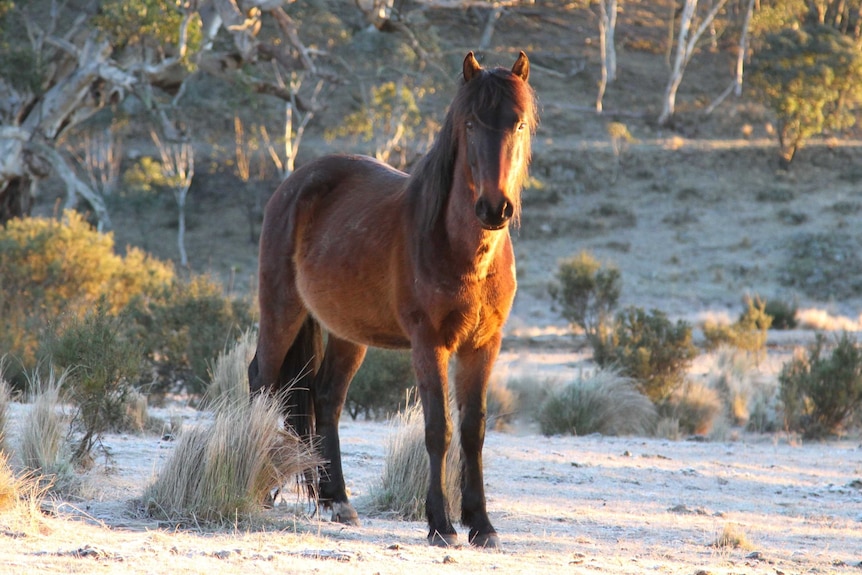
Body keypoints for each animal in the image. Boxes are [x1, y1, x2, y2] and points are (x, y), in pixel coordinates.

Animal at [246, 50, 536, 548]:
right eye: (471, 123)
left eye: (517, 123)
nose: (495, 209)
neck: (461, 251)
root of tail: (295, 182)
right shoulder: (429, 343)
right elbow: (438, 429)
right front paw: (441, 525)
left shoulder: (484, 345)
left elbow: (473, 430)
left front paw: (481, 525)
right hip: (282, 311)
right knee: (263, 383)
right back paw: (260, 487)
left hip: (348, 333)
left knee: (326, 397)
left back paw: (338, 502)